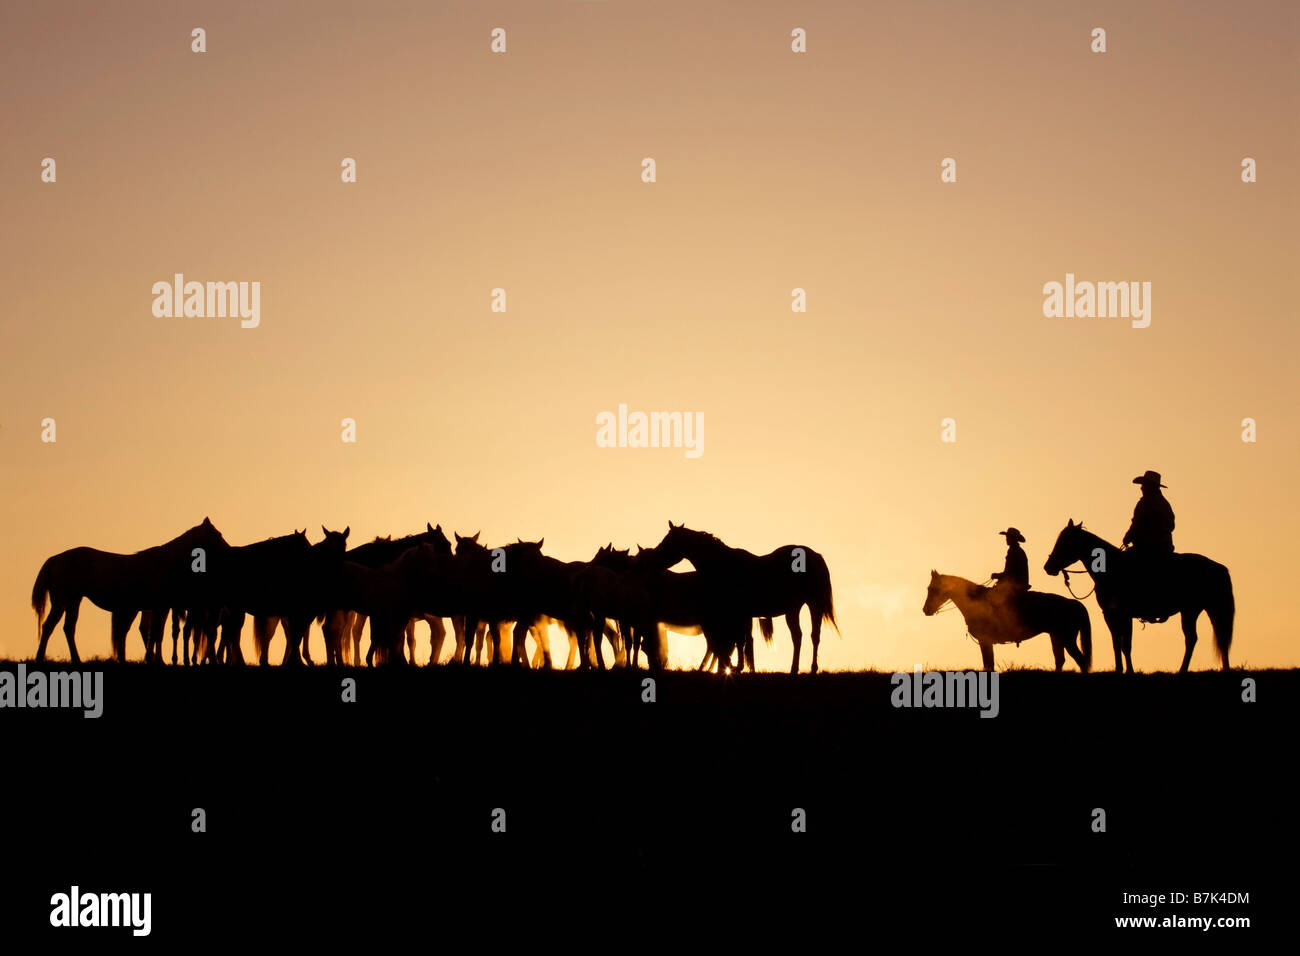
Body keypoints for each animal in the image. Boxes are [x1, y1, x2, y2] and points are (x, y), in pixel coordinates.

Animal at [32, 515, 231, 665]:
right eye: (218, 534)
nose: (229, 549)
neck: (166, 562)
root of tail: (56, 558)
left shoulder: (161, 607)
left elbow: (156, 633)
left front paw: (156, 659)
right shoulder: (159, 606)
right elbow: (155, 632)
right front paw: (154, 660)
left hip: (74, 600)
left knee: (68, 628)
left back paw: (76, 660)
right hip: (62, 600)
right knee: (49, 626)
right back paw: (40, 658)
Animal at [644, 522, 837, 671]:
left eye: (669, 542)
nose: (652, 559)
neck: (725, 566)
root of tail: (815, 555)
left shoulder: (737, 614)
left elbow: (737, 641)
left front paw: (736, 666)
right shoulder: (739, 615)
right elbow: (738, 641)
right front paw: (737, 666)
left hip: (811, 605)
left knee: (811, 636)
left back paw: (808, 669)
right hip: (796, 608)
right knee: (801, 637)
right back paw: (797, 669)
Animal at [920, 574, 1092, 671]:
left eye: (932, 589)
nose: (925, 610)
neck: (976, 601)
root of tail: (1074, 603)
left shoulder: (985, 641)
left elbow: (988, 664)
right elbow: (989, 664)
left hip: (1067, 638)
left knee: (1081, 660)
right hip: (1056, 637)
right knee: (1060, 660)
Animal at [1040, 522, 1232, 671]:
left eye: (1065, 542)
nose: (1048, 567)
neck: (1111, 569)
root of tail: (1217, 566)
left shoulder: (1121, 614)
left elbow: (1125, 645)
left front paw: (1128, 671)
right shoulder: (1113, 615)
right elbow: (1118, 643)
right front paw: (1120, 670)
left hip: (1190, 611)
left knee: (1192, 639)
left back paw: (1182, 670)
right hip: (1208, 610)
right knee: (1220, 637)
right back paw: (1224, 668)